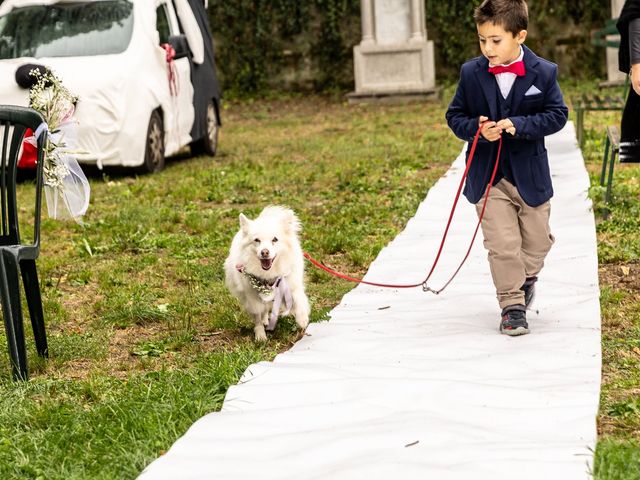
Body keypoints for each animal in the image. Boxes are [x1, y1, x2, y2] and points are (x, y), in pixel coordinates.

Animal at [225, 206, 310, 342]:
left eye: (275, 239)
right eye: (257, 240)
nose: (264, 252)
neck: (269, 273)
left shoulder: (291, 284)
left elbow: (299, 299)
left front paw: (302, 319)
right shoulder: (252, 297)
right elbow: (257, 316)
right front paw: (260, 335)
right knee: (263, 310)